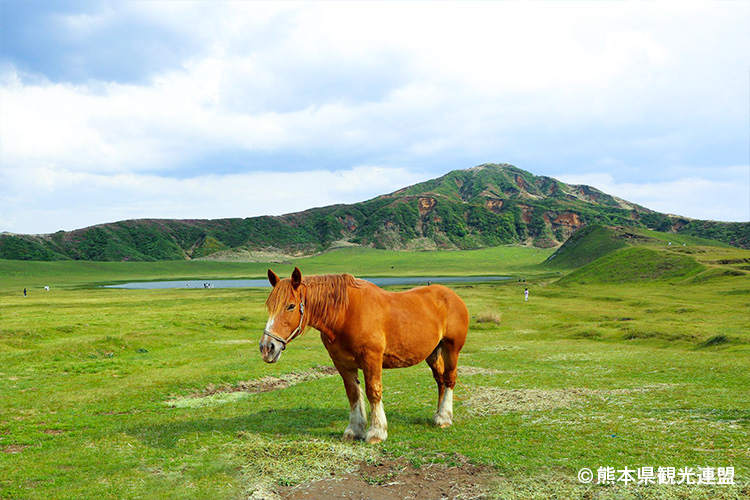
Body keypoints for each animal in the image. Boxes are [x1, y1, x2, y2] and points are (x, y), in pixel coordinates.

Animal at [260, 268, 470, 444]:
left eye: (291, 306)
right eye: (270, 306)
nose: (267, 347)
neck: (345, 314)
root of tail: (453, 296)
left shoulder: (371, 359)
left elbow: (373, 392)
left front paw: (376, 432)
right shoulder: (342, 363)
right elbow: (353, 394)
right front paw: (354, 430)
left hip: (451, 349)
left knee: (449, 379)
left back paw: (444, 418)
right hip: (433, 353)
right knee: (440, 379)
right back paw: (439, 415)